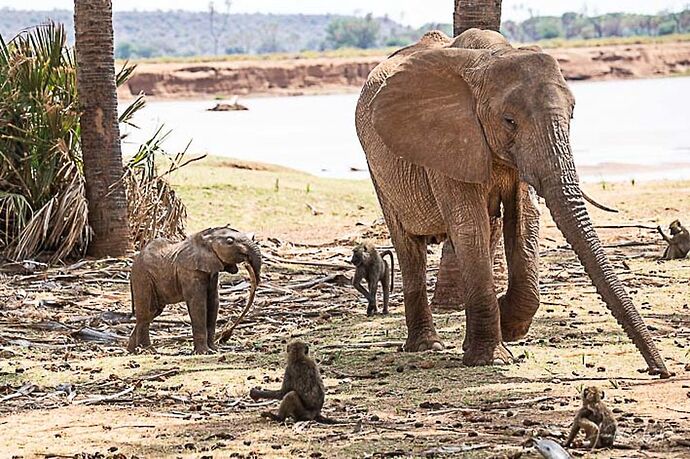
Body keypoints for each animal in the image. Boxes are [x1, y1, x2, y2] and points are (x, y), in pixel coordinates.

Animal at [127, 226, 260, 356]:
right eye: (230, 241)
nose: (247, 265)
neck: (205, 238)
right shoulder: (189, 271)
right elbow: (198, 303)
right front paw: (204, 352)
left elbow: (213, 302)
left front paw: (214, 350)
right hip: (143, 278)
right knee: (146, 313)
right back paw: (148, 351)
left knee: (153, 312)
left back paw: (133, 351)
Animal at [354, 30, 668, 380]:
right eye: (509, 121)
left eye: (572, 114)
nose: (659, 370)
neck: (491, 58)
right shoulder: (445, 141)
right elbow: (470, 225)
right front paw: (492, 358)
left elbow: (524, 220)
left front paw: (507, 327)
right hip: (378, 170)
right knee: (410, 247)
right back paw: (426, 346)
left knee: (488, 234)